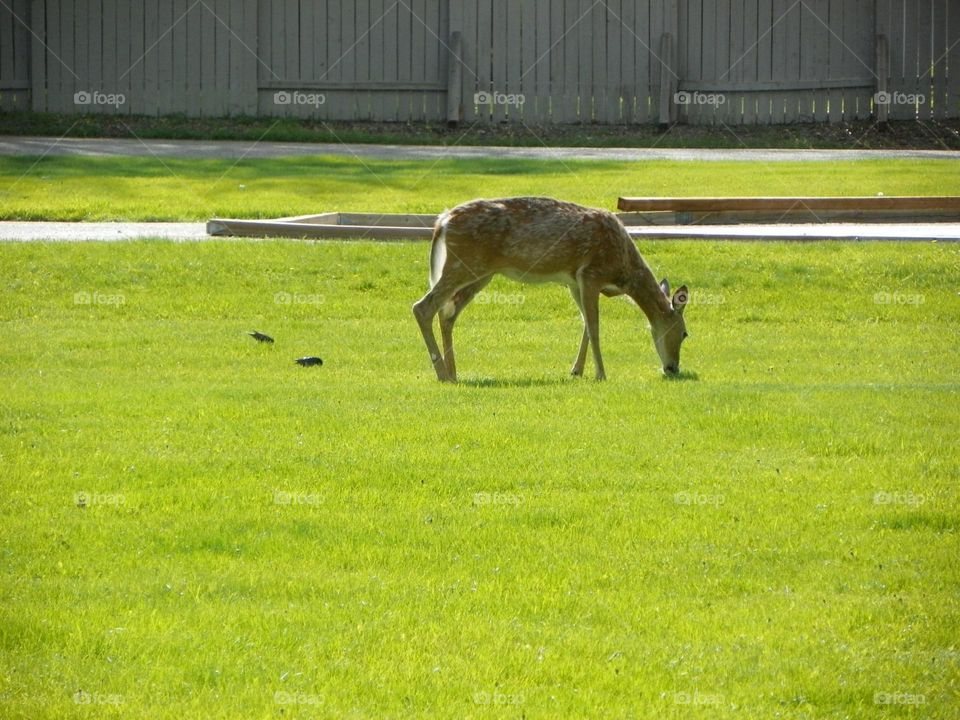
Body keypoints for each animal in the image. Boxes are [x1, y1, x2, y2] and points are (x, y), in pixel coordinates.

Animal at [412, 196, 689, 382]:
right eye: (685, 333)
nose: (673, 368)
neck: (623, 273)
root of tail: (442, 221)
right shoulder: (591, 273)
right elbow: (595, 327)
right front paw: (601, 374)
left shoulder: (574, 282)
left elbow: (585, 325)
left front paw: (576, 371)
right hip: (465, 264)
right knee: (424, 307)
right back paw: (441, 373)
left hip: (480, 274)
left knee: (447, 312)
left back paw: (453, 373)